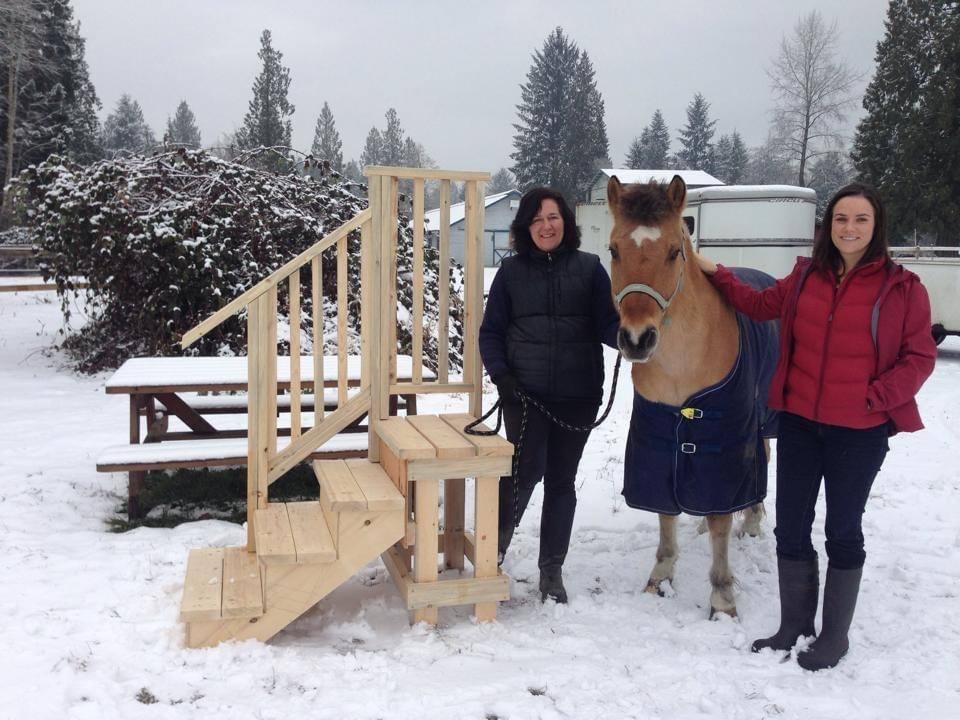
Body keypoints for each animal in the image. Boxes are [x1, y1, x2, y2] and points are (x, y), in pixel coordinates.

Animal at [606, 174, 778, 618]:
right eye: (614, 250)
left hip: (765, 420)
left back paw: (751, 522)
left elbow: (721, 521)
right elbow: (665, 512)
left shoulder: (726, 440)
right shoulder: (658, 437)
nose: (637, 339)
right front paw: (660, 577)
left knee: (762, 464)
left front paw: (722, 598)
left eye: (673, 252)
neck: (683, 362)